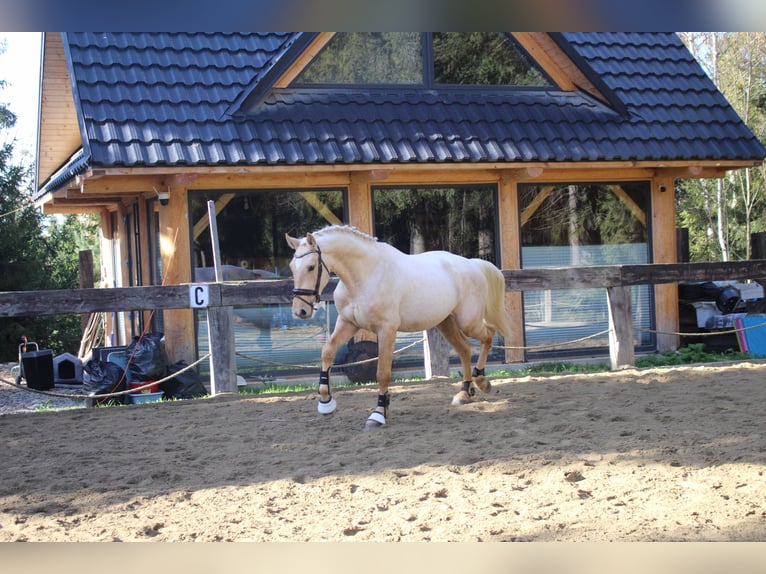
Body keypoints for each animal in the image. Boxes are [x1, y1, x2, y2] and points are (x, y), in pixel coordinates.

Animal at [288, 225, 516, 432]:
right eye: (291, 267)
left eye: (311, 267)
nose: (301, 311)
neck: (366, 275)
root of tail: (472, 264)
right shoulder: (347, 323)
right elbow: (327, 351)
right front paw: (326, 403)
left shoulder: (386, 330)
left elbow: (382, 373)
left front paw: (378, 414)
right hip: (446, 322)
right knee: (465, 349)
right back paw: (464, 393)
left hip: (467, 321)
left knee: (488, 335)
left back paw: (482, 381)